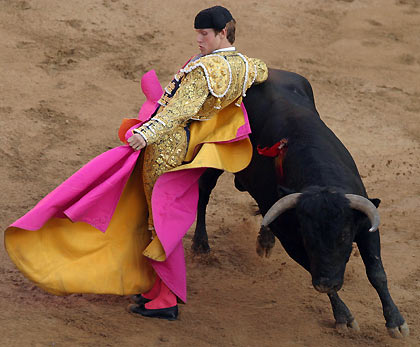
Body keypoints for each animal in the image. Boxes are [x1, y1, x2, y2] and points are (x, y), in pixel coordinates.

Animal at [192, 68, 408, 338]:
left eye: (343, 237)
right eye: (308, 237)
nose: (326, 282)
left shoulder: (365, 225)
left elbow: (377, 272)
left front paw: (395, 321)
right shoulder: (291, 240)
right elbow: (312, 267)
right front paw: (344, 317)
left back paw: (264, 240)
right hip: (215, 157)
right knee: (204, 191)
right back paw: (200, 244)